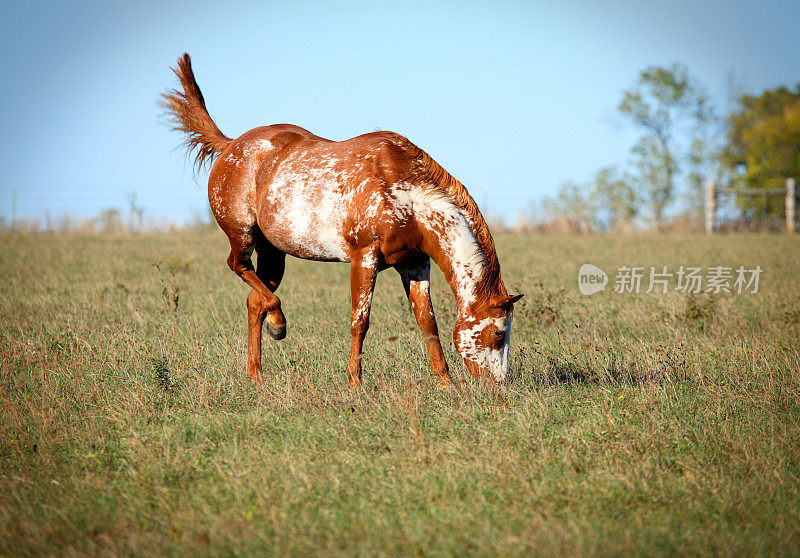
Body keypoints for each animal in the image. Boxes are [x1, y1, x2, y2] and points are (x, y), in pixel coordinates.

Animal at [161, 54, 524, 392]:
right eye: (497, 333)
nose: (498, 386)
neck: (403, 193)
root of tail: (229, 146)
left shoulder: (415, 262)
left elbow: (427, 322)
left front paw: (445, 383)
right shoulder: (364, 257)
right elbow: (360, 321)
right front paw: (355, 382)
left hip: (273, 252)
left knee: (255, 301)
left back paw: (256, 375)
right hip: (243, 236)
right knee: (239, 268)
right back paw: (279, 325)